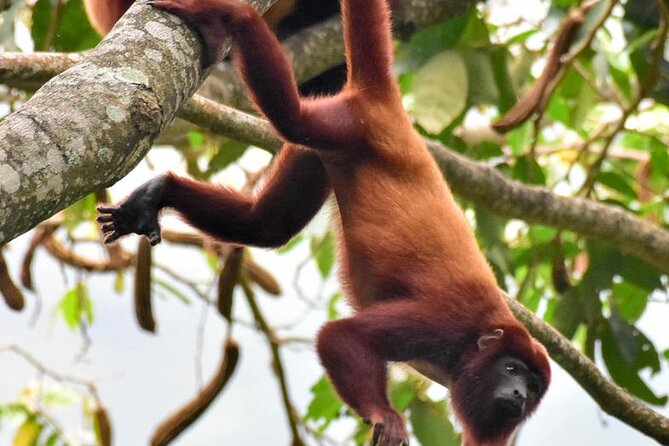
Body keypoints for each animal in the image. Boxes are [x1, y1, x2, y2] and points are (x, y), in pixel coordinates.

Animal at [96, 0, 551, 445]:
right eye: (512, 369)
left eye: (532, 389)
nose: (517, 394)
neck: (480, 339)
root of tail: (390, 111)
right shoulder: (445, 323)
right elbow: (343, 336)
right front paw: (384, 414)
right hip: (344, 123)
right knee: (291, 117)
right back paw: (231, 17)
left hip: (322, 148)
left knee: (266, 225)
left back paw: (159, 193)